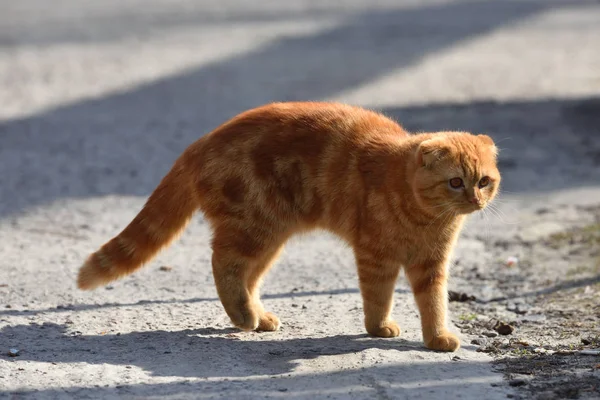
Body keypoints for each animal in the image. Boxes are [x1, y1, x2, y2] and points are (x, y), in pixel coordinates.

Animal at [77, 101, 500, 352]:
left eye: (483, 181)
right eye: (455, 182)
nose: (475, 201)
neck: (424, 217)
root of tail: (201, 141)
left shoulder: (432, 265)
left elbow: (434, 303)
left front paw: (437, 337)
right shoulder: (375, 256)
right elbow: (379, 297)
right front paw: (378, 327)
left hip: (269, 240)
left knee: (246, 276)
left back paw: (256, 316)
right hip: (253, 228)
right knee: (222, 262)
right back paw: (244, 316)